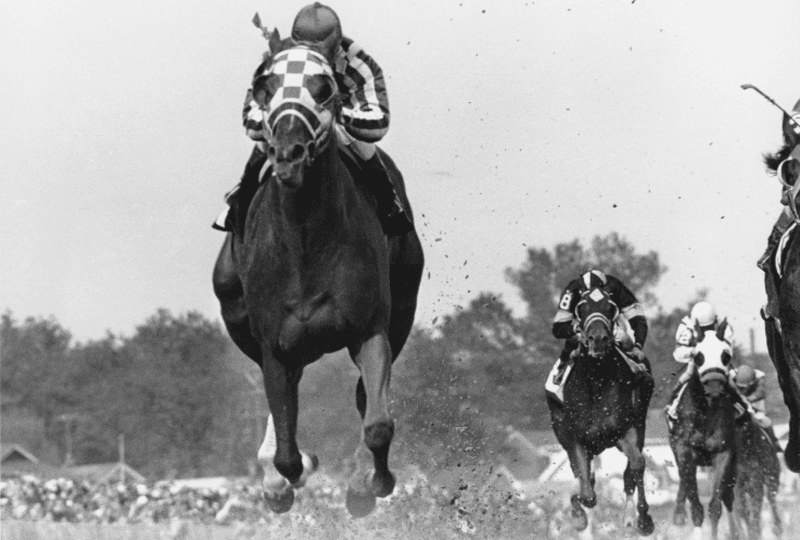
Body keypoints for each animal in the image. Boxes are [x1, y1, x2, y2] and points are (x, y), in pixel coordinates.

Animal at [212, 31, 424, 516]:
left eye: (324, 88)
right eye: (266, 87)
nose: (287, 154)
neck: (306, 242)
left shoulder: (370, 328)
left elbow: (378, 423)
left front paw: (367, 486)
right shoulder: (275, 345)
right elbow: (288, 452)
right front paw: (287, 476)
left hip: (403, 305)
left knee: (365, 398)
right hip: (233, 303)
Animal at [544, 286, 656, 536]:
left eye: (610, 307)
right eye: (581, 307)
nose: (598, 339)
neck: (596, 381)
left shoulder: (624, 431)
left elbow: (637, 464)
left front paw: (644, 519)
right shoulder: (577, 440)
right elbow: (587, 494)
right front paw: (578, 515)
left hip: (638, 426)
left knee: (629, 472)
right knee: (583, 478)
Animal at [664, 320, 740, 540]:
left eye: (725, 355)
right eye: (698, 356)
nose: (714, 387)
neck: (705, 413)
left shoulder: (723, 452)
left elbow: (715, 505)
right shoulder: (684, 452)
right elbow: (695, 504)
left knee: (728, 496)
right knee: (684, 484)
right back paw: (678, 517)